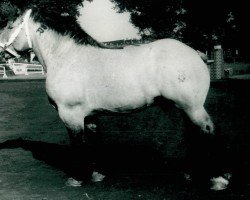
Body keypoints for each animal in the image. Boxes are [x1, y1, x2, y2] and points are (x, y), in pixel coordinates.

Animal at [0, 9, 215, 144]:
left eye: (10, 26)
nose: (1, 51)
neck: (68, 56)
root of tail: (195, 53)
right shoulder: (89, 116)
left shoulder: (70, 115)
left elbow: (78, 145)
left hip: (193, 108)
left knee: (207, 130)